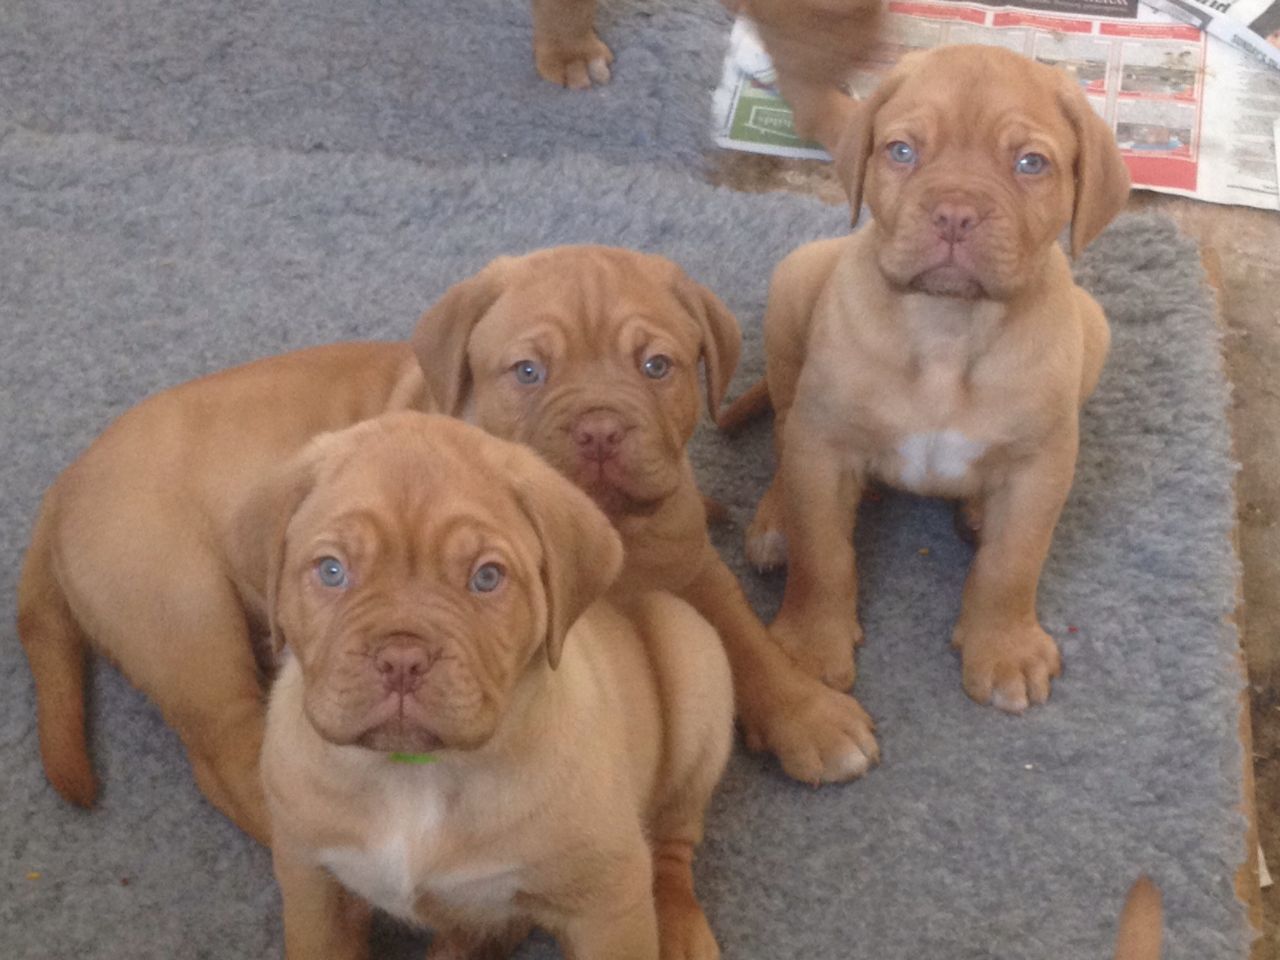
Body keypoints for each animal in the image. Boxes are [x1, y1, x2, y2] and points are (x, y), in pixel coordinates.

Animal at [258, 417, 732, 960]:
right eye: (332, 571)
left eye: (486, 577)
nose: (402, 659)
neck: (414, 776)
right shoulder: (313, 885)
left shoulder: (608, 901)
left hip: (695, 661)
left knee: (676, 837)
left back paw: (679, 927)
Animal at [409, 244, 880, 783]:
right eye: (528, 371)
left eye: (656, 366)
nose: (599, 430)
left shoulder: (697, 571)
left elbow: (748, 640)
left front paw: (809, 715)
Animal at [721, 47, 1131, 716]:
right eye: (902, 151)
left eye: (1031, 163)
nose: (956, 214)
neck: (948, 328)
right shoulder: (824, 445)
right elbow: (823, 552)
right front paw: (809, 648)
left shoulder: (1040, 465)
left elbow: (1013, 562)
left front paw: (1004, 648)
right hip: (794, 283)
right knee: (783, 429)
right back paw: (777, 520)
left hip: (1093, 325)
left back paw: (977, 511)